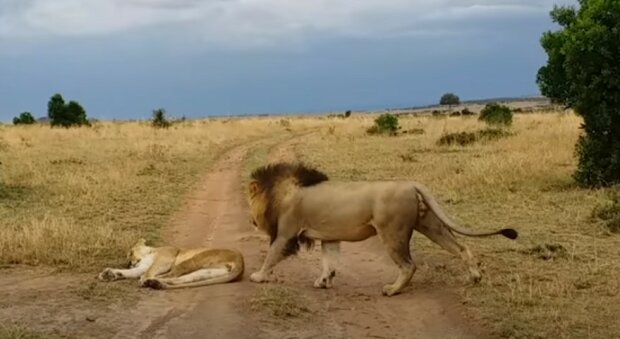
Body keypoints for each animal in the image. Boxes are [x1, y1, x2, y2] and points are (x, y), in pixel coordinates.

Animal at [97, 239, 245, 290]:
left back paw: (150, 281)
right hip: (205, 272)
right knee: (180, 279)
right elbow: (133, 272)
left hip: (194, 260)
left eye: (131, 252)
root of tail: (241, 262)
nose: (129, 263)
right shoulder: (142, 266)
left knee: (172, 275)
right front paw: (110, 274)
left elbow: (148, 271)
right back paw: (155, 283)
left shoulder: (165, 258)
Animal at [247, 162, 520, 298]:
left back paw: (392, 290)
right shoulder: (330, 237)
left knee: (409, 265)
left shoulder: (286, 233)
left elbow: (271, 255)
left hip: (392, 232)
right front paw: (323, 281)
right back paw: (475, 277)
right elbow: (329, 261)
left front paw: (258, 276)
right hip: (430, 225)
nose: (251, 221)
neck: (282, 192)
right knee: (461, 247)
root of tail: (411, 183)